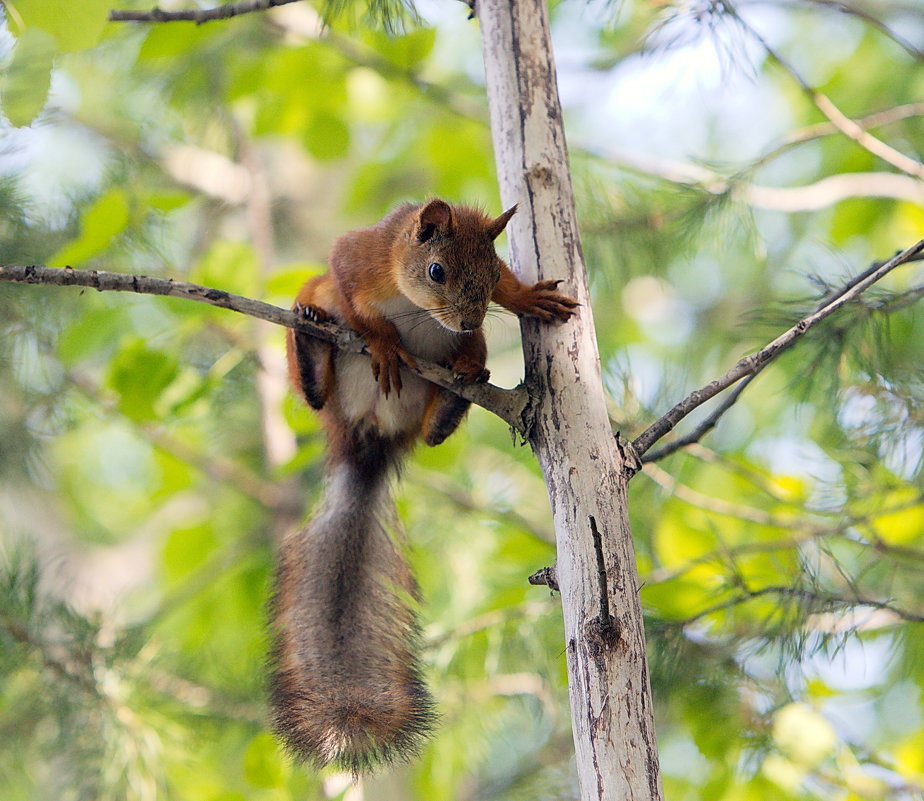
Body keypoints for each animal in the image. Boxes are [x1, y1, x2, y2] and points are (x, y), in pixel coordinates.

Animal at [270, 198, 576, 768]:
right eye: (437, 271)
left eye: (493, 270)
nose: (470, 317)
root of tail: (368, 435)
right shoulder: (356, 259)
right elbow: (356, 298)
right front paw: (385, 343)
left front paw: (526, 297)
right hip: (318, 334)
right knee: (315, 386)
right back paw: (310, 336)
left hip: (456, 363)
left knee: (437, 427)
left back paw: (463, 383)